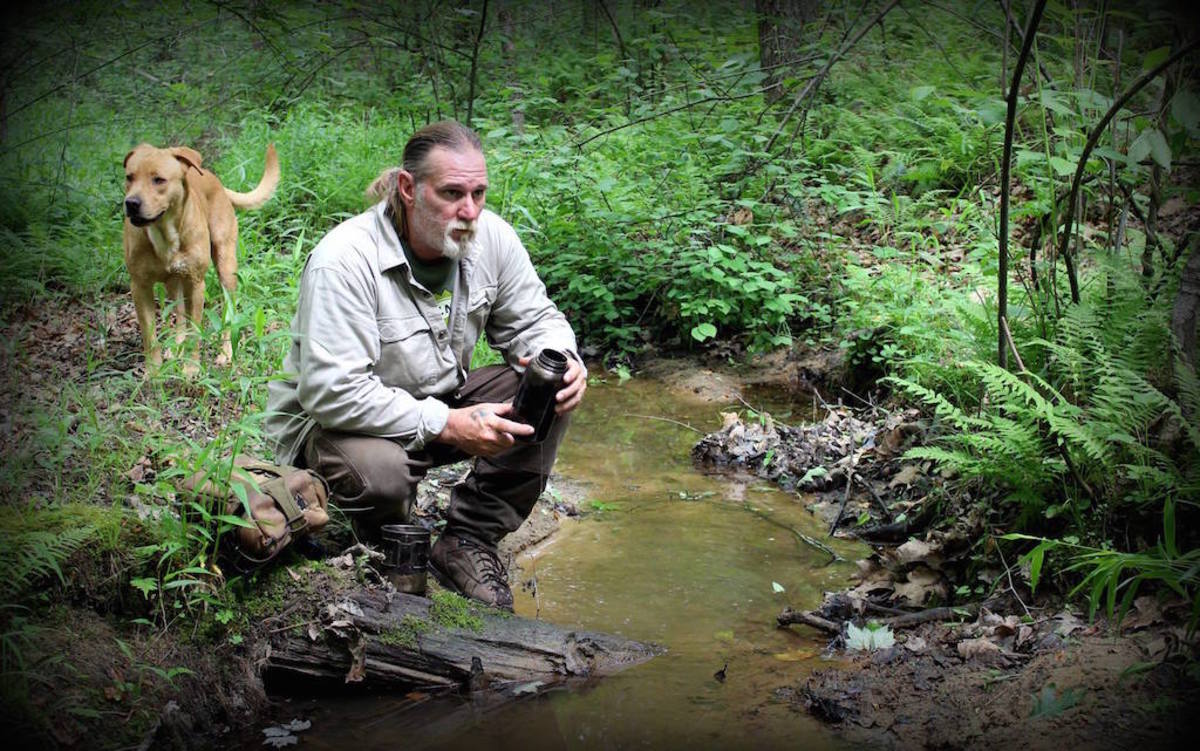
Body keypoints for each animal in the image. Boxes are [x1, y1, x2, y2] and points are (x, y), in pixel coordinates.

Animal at [123, 140, 279, 371]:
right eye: (129, 177)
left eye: (159, 179)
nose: (131, 203)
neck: (165, 233)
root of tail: (216, 180)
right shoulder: (139, 287)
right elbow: (150, 337)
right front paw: (154, 373)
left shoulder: (196, 284)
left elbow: (195, 331)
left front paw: (191, 370)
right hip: (174, 282)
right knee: (180, 316)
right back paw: (177, 348)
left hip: (226, 267)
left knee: (229, 313)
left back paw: (226, 352)